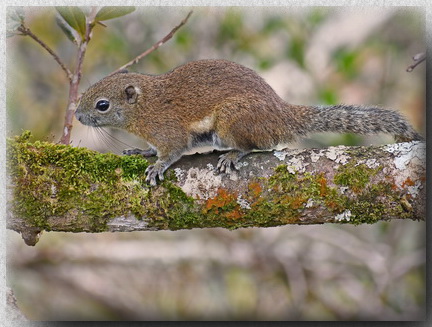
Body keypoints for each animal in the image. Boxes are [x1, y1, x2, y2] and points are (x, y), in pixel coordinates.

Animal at [76, 59, 424, 186]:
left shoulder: (170, 131)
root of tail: (283, 116)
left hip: (233, 119)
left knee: (254, 145)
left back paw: (232, 154)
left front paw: (157, 166)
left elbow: (173, 152)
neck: (147, 105)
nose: (77, 115)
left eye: (102, 105)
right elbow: (152, 149)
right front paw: (142, 152)